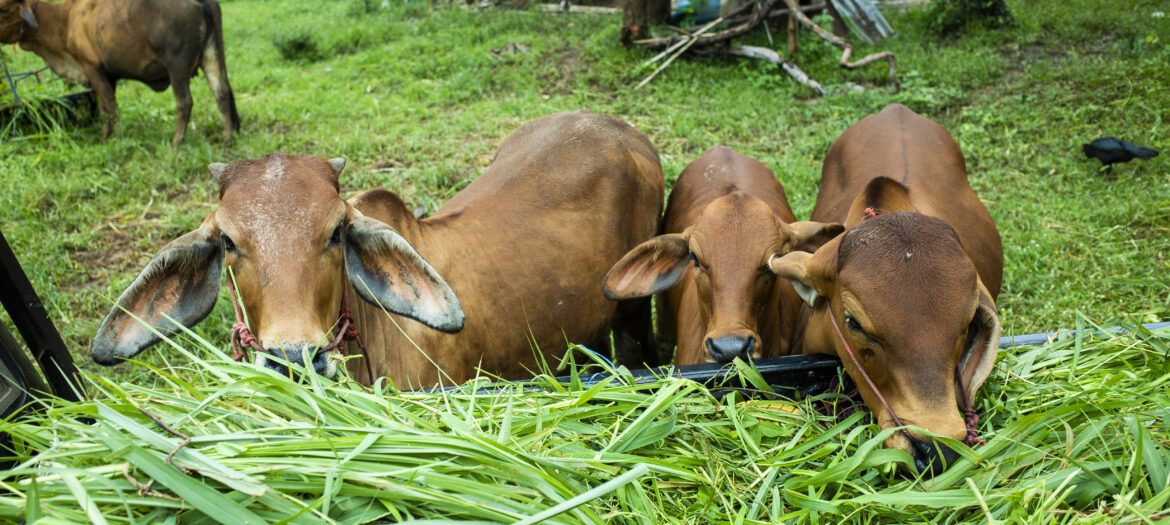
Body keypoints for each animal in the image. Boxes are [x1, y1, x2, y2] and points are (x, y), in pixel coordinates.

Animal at [0, 0, 240, 145]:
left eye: (3, 9)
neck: (65, 20)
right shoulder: (108, 75)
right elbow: (106, 107)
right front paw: (106, 135)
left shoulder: (92, 68)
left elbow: (110, 107)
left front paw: (113, 138)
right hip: (211, 56)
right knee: (222, 93)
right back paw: (228, 138)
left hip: (177, 66)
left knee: (185, 101)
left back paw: (176, 141)